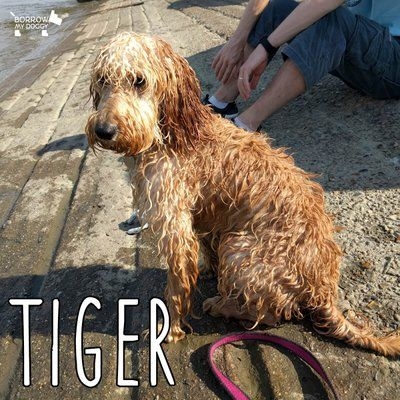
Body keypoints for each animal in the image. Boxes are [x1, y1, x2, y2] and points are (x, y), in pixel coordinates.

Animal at [85, 32, 400, 356]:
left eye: (139, 81)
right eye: (102, 79)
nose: (104, 130)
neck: (171, 133)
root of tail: (323, 289)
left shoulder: (174, 227)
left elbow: (176, 287)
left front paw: (170, 330)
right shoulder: (203, 214)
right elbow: (205, 246)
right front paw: (207, 269)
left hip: (239, 249)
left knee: (274, 313)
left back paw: (222, 305)